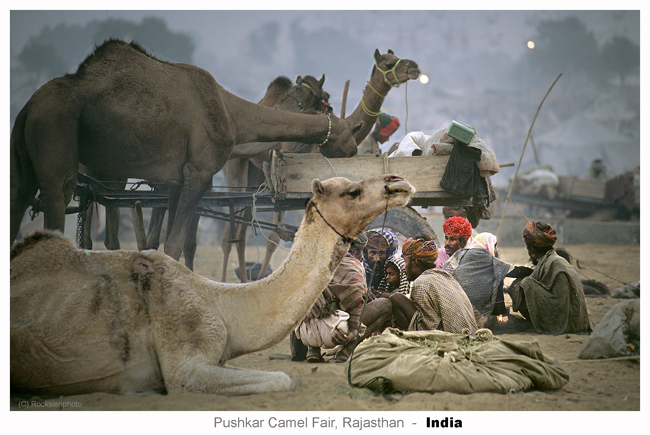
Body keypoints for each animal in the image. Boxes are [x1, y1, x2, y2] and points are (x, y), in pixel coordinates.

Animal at [8, 40, 360, 262]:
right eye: (327, 100)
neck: (232, 115)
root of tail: (27, 108)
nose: (354, 147)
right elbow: (175, 244)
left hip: (27, 164)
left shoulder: (175, 181)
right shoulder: (201, 171)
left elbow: (166, 242)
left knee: (20, 208)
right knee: (59, 201)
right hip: (56, 137)